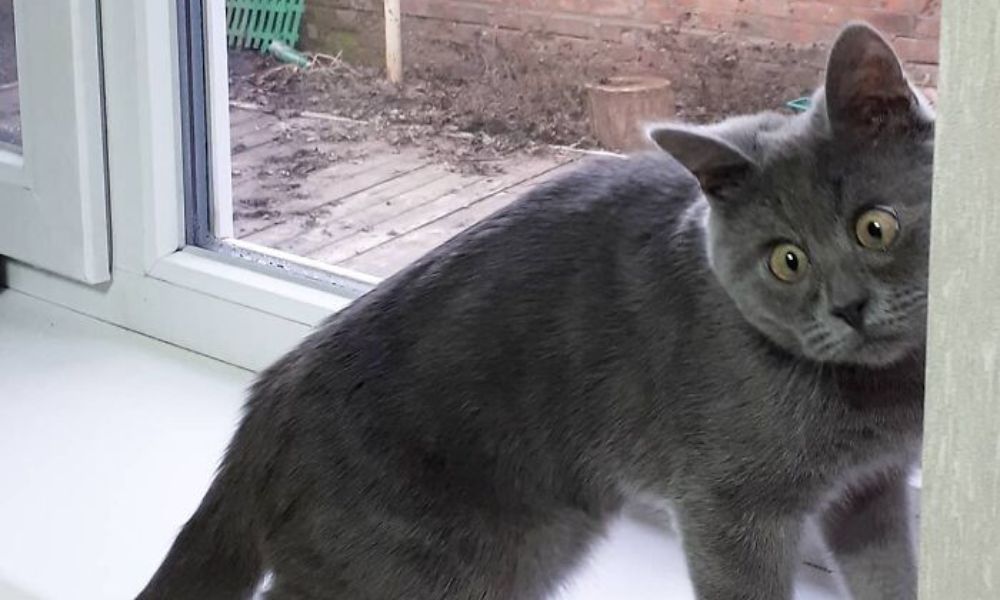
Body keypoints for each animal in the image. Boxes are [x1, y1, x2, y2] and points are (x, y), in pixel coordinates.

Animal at [137, 21, 932, 600]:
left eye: (875, 227)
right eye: (786, 260)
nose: (849, 306)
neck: (878, 396)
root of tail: (270, 398)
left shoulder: (873, 490)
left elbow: (889, 572)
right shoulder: (732, 511)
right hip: (429, 564)